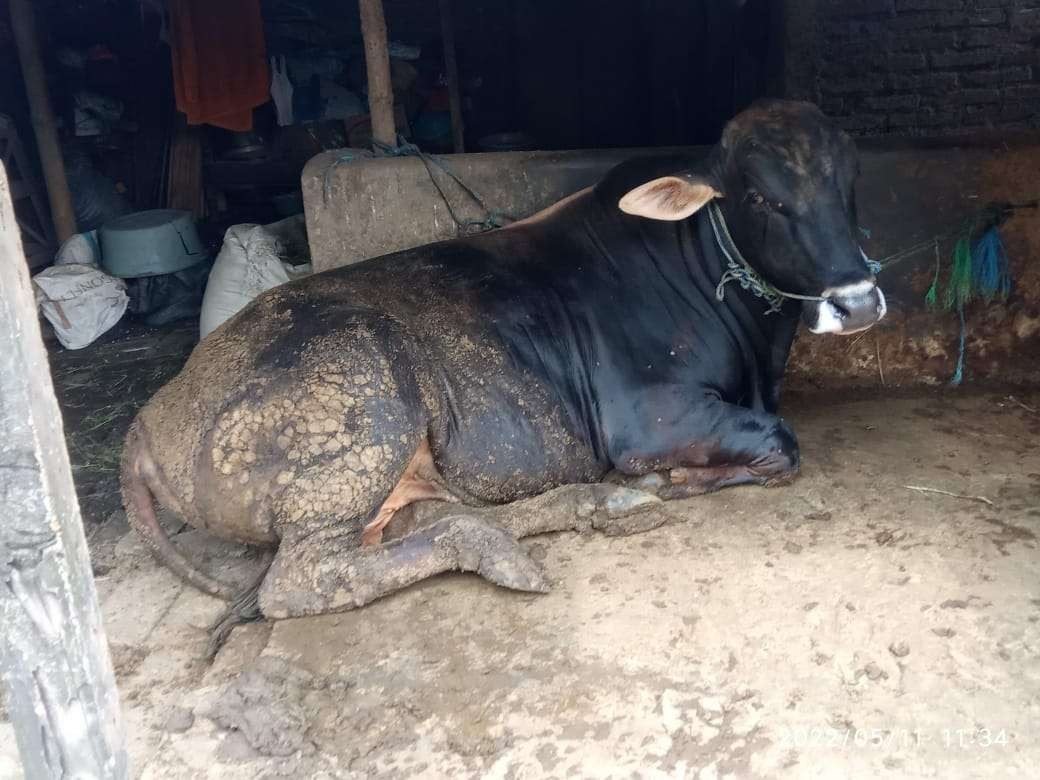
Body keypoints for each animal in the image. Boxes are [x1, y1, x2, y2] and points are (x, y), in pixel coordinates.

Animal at [121, 100, 886, 619]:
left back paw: (592, 504)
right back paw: (504, 546)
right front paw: (675, 479)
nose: (858, 302)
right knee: (301, 580)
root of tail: (150, 417)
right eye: (761, 196)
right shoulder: (651, 420)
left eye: (851, 181)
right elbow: (780, 444)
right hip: (358, 425)